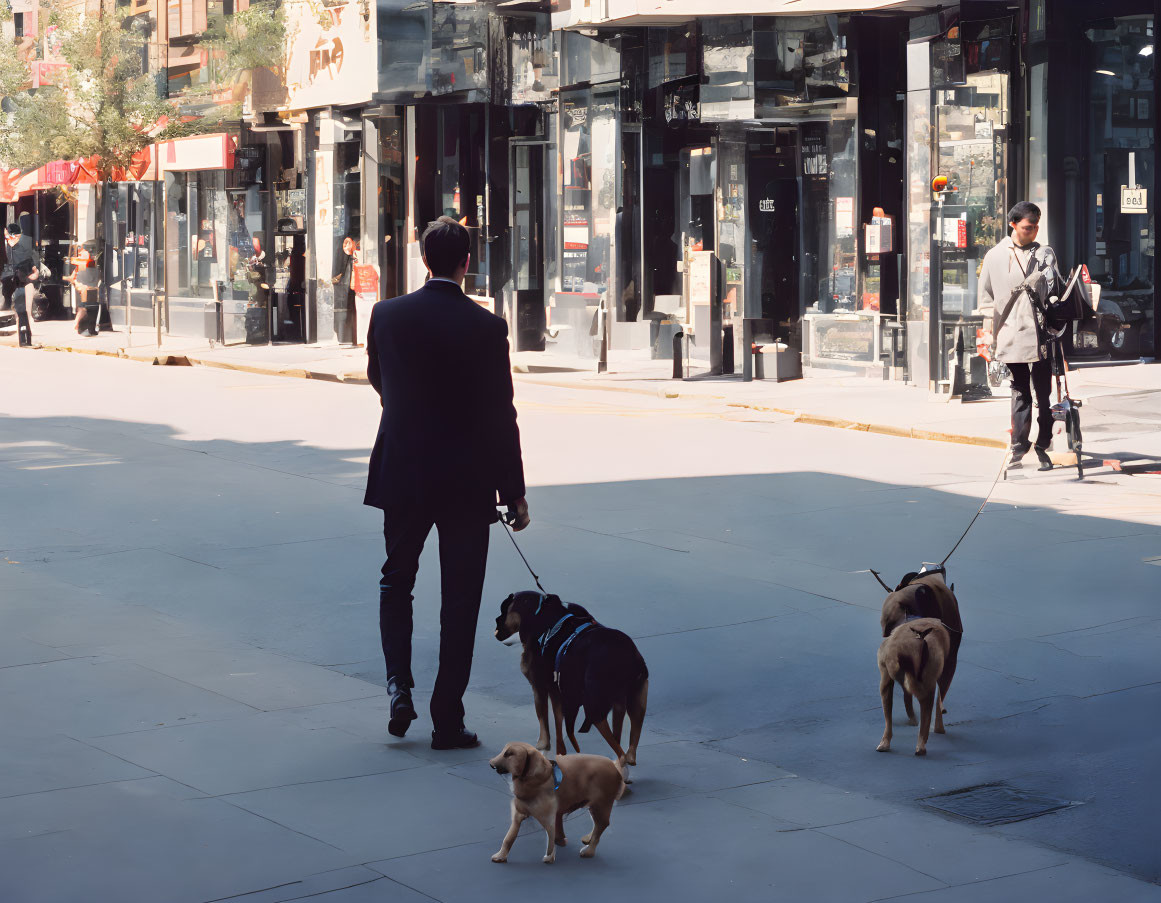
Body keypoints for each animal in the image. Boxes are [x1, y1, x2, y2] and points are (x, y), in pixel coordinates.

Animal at [487, 742, 626, 863]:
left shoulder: (548, 817)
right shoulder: (519, 814)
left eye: (509, 754)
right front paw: (500, 856)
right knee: (598, 825)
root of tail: (615, 767)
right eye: (504, 752)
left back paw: (589, 851)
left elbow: (550, 838)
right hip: (595, 806)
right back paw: (588, 838)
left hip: (601, 805)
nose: (490, 763)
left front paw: (549, 857)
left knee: (601, 825)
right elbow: (509, 837)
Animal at [494, 591, 650, 766]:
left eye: (503, 610)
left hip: (594, 705)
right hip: (634, 704)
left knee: (620, 750)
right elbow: (557, 726)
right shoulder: (558, 693)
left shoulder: (540, 688)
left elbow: (545, 726)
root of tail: (627, 657)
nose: (496, 623)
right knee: (629, 748)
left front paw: (545, 749)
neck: (542, 615)